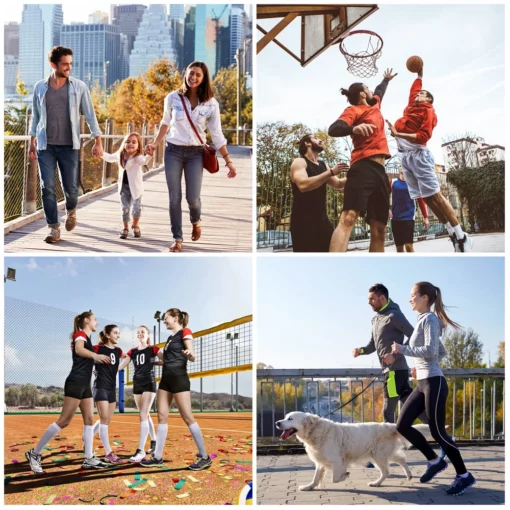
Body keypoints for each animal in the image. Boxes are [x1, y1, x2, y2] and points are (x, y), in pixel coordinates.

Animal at [276, 410, 432, 490]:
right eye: (284, 417)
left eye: (290, 419)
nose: (277, 422)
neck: (316, 431)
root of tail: (389, 425)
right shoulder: (320, 461)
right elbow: (316, 477)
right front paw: (308, 487)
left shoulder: (337, 460)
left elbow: (334, 478)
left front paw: (345, 475)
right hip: (383, 454)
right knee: (401, 458)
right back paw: (408, 475)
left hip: (378, 455)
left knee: (387, 471)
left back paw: (376, 483)